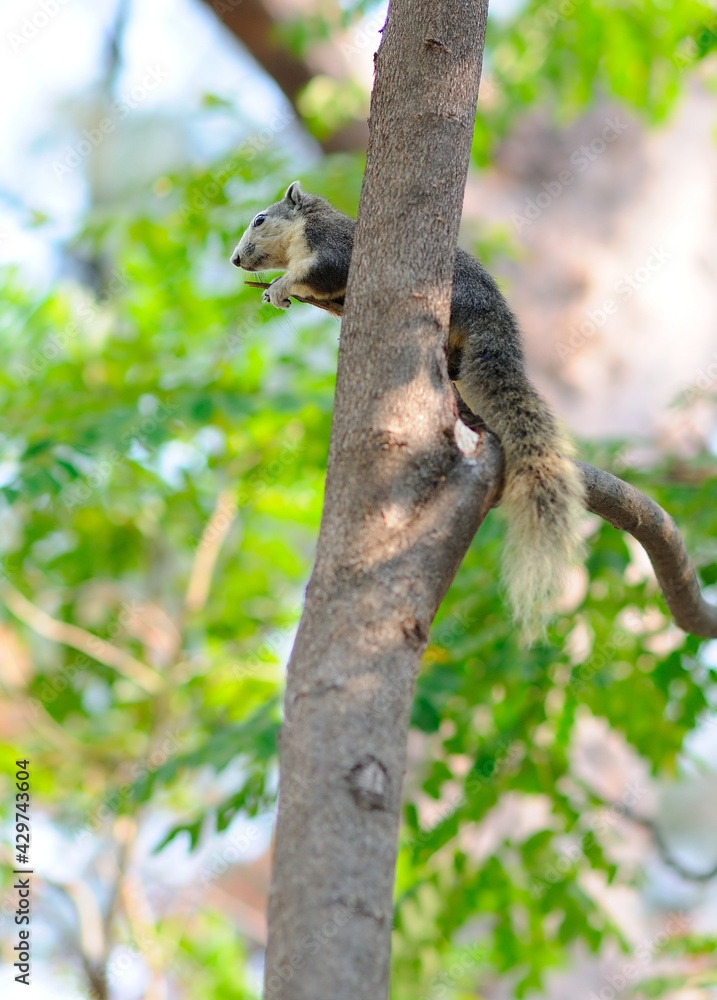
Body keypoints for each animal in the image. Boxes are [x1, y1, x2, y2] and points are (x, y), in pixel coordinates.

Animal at [231, 181, 585, 638]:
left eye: (260, 219)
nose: (235, 260)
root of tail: (493, 322)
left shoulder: (333, 248)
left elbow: (318, 274)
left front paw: (278, 286)